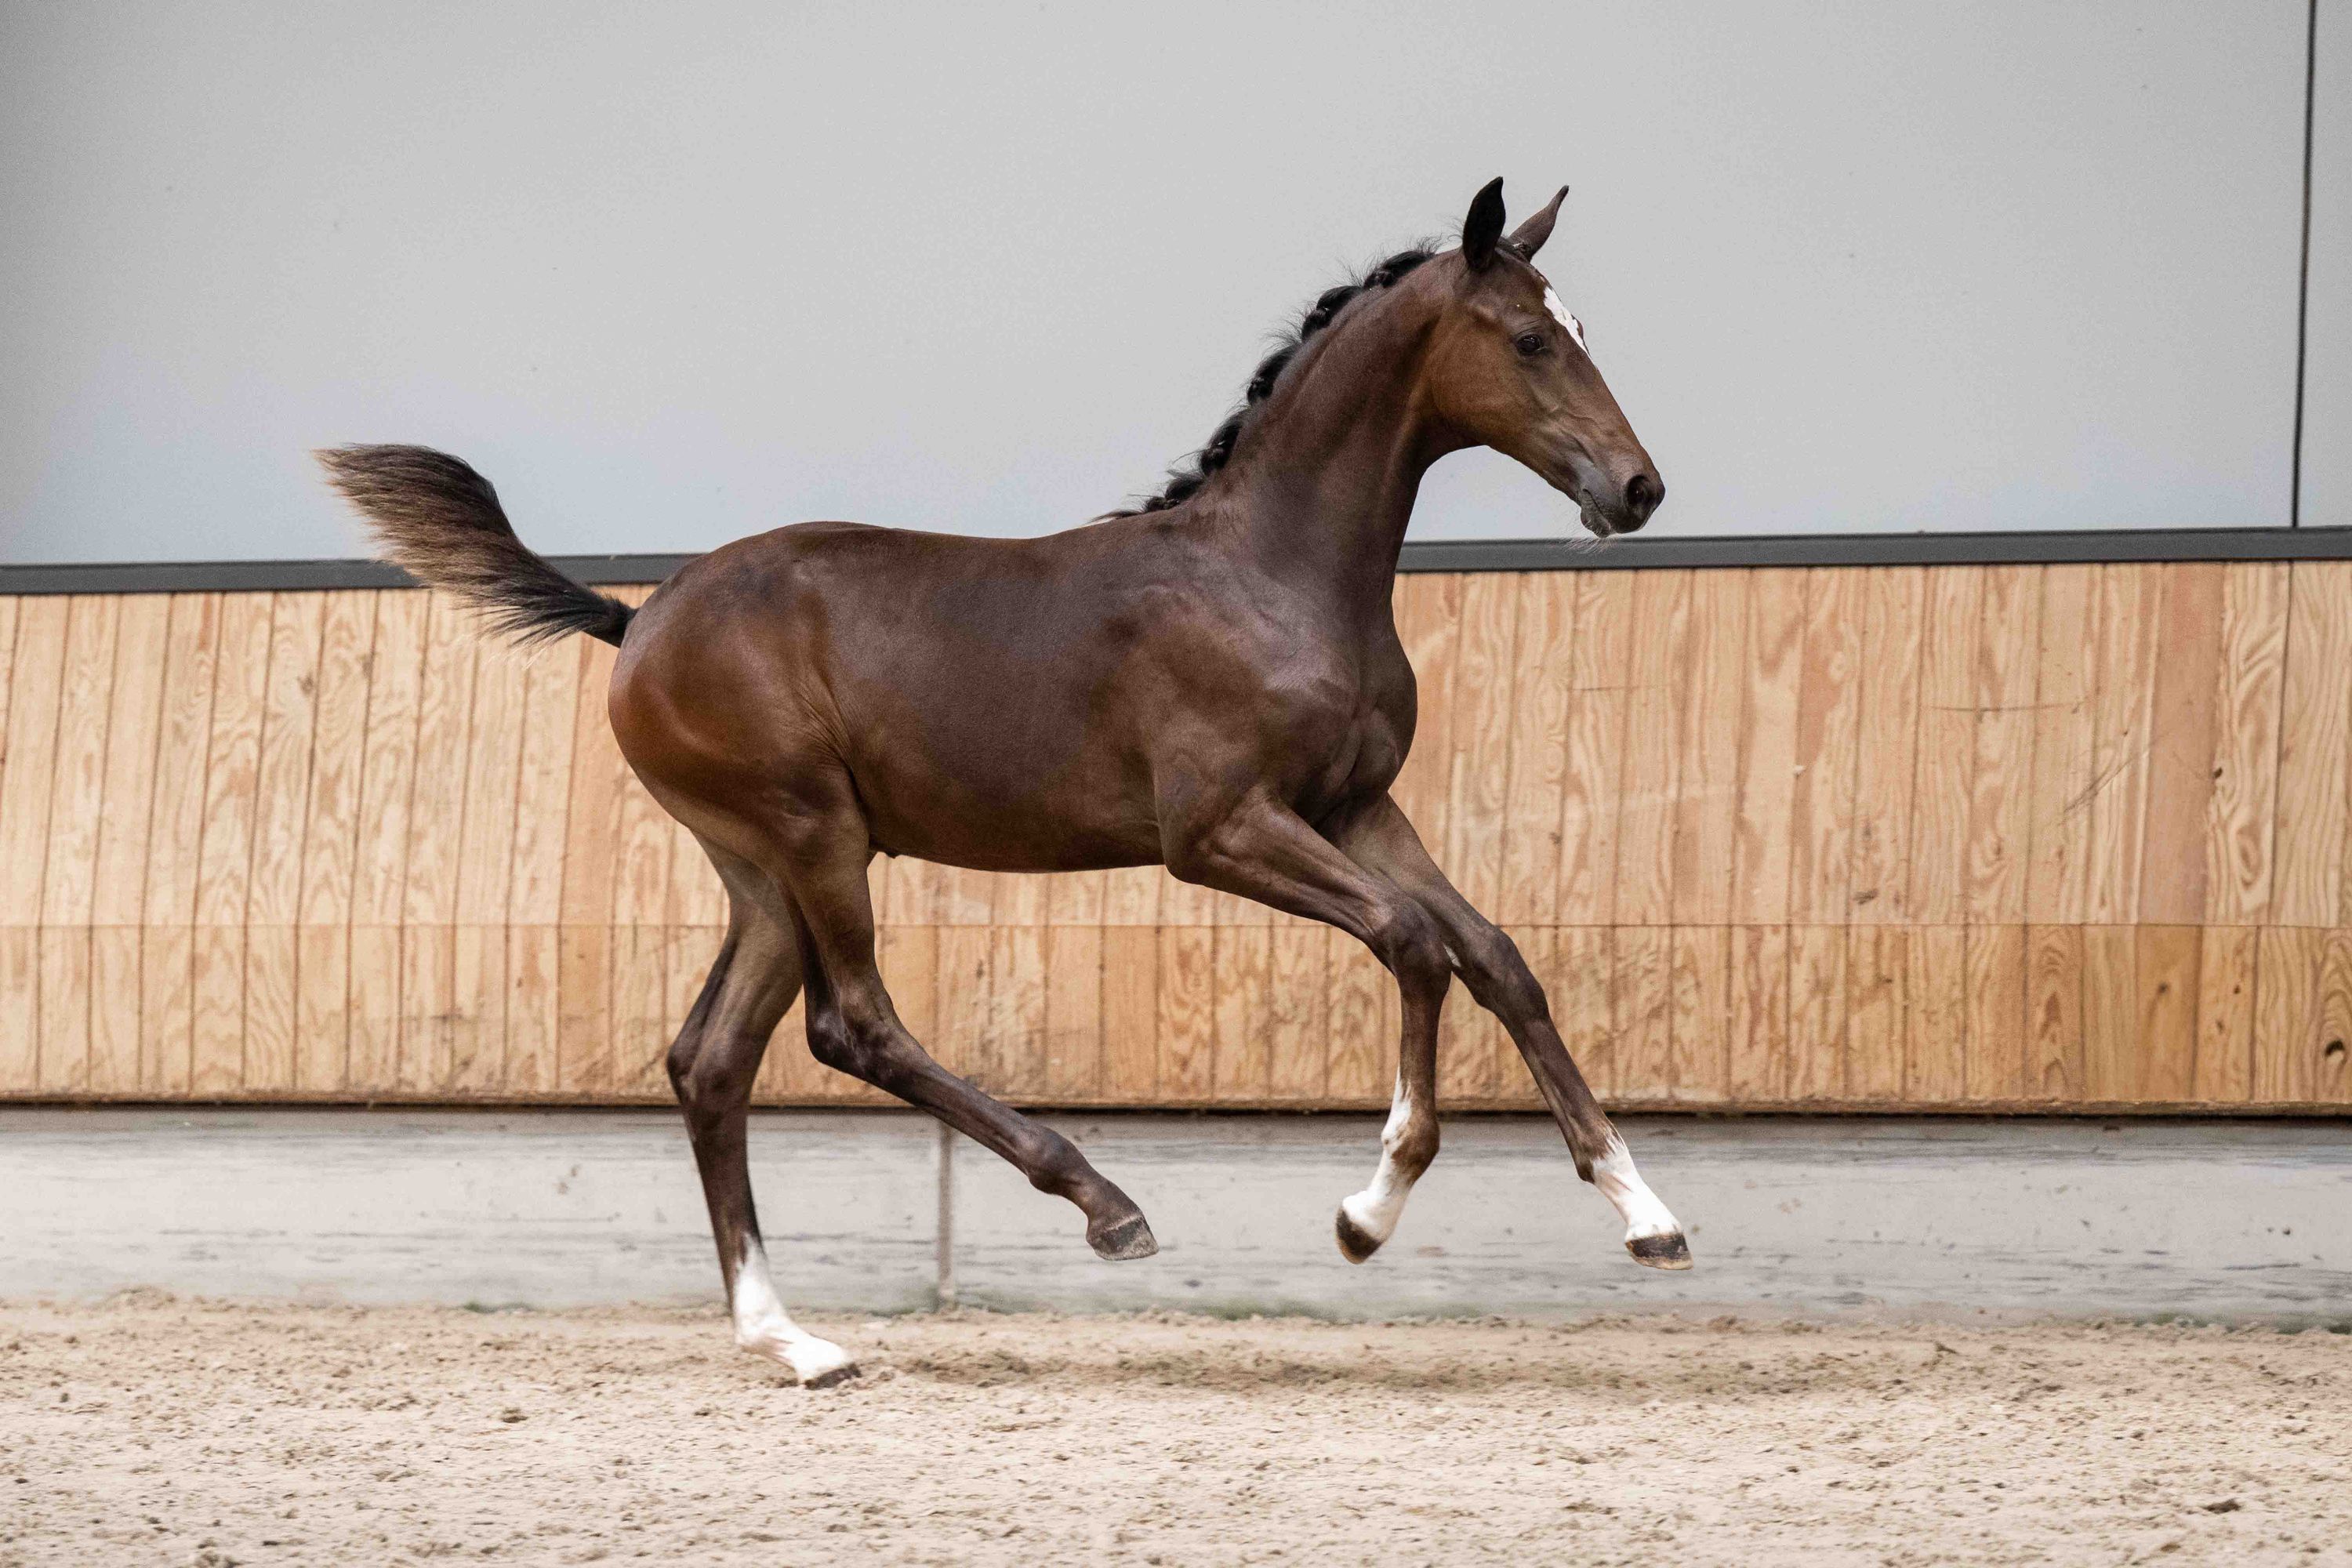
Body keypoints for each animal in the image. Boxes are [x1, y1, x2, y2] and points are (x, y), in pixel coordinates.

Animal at [322, 177, 1677, 1387]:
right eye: (1529, 340)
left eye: (1581, 332)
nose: (1638, 488)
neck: (1272, 575)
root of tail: (634, 621)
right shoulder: (1220, 830)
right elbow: (1411, 941)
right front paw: (1366, 1212)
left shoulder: (1355, 806)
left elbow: (1496, 954)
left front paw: (1647, 1213)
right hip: (810, 834)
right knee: (852, 1025)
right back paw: (1104, 1205)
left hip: (762, 868)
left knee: (711, 1060)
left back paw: (794, 1343)